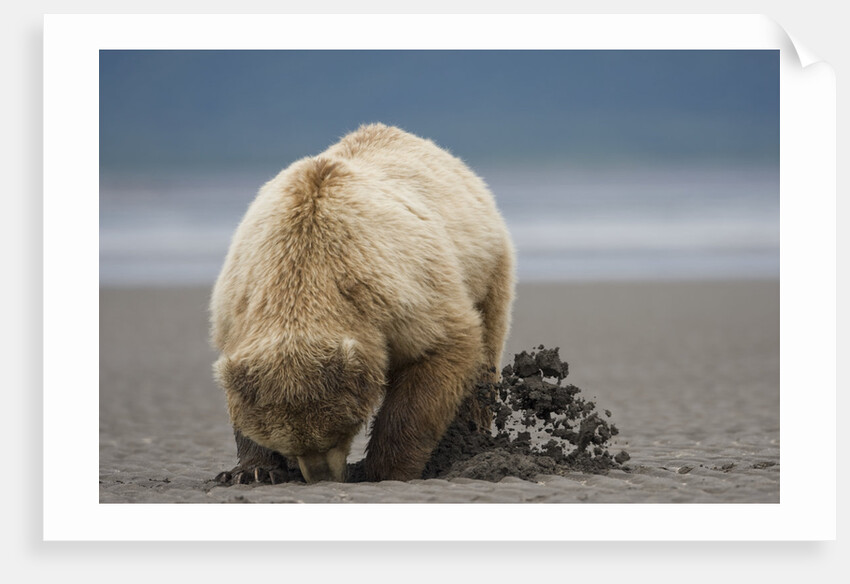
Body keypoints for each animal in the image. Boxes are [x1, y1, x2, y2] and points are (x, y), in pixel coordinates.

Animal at [210, 123, 515, 483]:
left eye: (337, 433)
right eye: (290, 446)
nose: (322, 477)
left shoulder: (394, 292)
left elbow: (441, 349)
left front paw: (384, 468)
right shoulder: (239, 303)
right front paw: (253, 470)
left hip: (485, 267)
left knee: (485, 353)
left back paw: (470, 442)